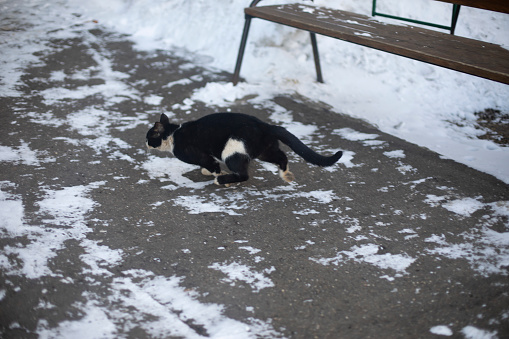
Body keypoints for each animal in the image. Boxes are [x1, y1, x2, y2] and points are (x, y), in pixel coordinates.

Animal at [146, 113, 342, 187]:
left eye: (149, 136)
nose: (145, 143)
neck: (173, 134)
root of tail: (266, 126)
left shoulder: (200, 155)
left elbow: (213, 166)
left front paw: (219, 177)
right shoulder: (208, 156)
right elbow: (210, 166)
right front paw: (208, 172)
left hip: (232, 150)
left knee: (244, 174)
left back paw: (223, 180)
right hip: (265, 150)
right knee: (282, 157)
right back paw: (286, 175)